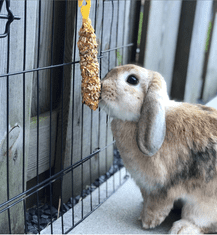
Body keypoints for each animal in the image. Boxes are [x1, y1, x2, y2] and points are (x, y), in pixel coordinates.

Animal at [99, 63, 217, 233]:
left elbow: (157, 206)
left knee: (200, 221)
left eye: (132, 79)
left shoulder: (161, 188)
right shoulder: (145, 186)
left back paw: (181, 229)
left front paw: (147, 222)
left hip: (204, 204)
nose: (101, 86)